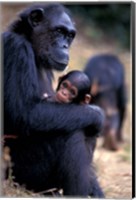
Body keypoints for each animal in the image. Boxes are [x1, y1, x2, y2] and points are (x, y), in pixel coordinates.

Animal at [3, 2, 105, 197]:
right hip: (21, 173)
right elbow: (26, 113)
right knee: (70, 131)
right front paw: (97, 115)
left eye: (69, 35)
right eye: (58, 31)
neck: (32, 46)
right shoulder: (16, 49)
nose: (64, 46)